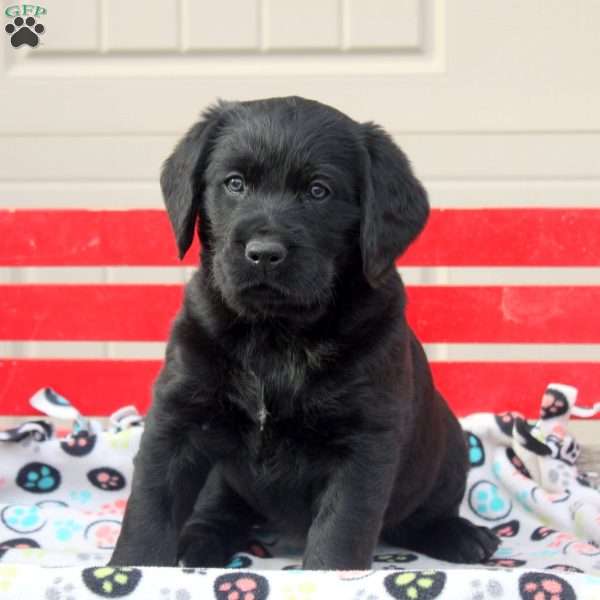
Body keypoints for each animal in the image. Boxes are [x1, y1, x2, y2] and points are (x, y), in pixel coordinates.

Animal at [110, 96, 500, 568]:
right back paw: (200, 541)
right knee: (219, 507)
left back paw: (460, 534)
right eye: (235, 184)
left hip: (449, 451)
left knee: (423, 512)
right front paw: (126, 570)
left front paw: (330, 577)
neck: (275, 335)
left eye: (318, 191)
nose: (263, 253)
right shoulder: (179, 414)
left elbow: (341, 531)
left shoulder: (364, 440)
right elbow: (150, 507)